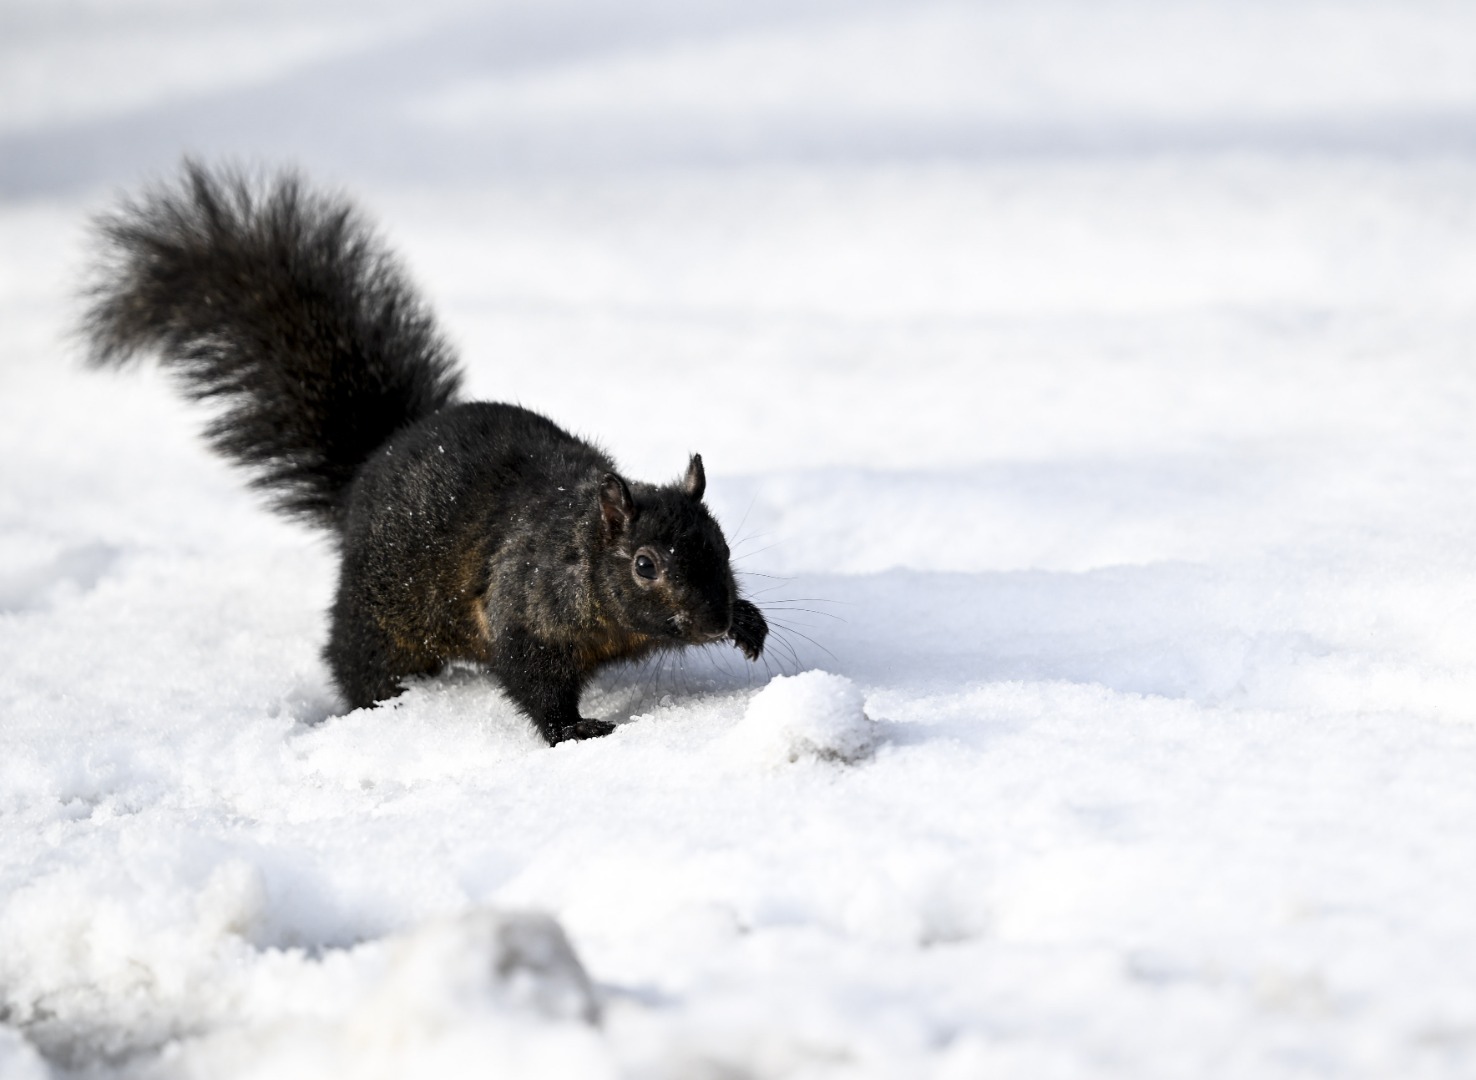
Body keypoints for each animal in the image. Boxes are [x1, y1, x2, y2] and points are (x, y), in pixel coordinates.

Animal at [82, 160, 767, 746]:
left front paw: (751, 624)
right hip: (381, 612)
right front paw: (573, 730)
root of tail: (371, 464)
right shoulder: (519, 609)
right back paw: (375, 706)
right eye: (645, 565)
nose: (714, 619)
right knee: (353, 657)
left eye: (724, 547)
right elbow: (534, 683)